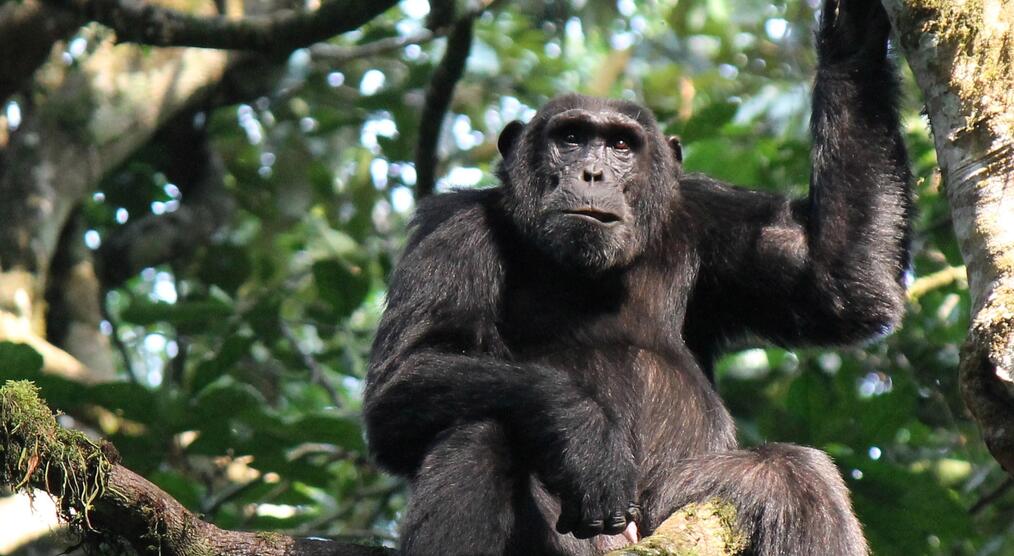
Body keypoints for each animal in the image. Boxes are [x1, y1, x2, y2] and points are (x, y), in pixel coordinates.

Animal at [363, 1, 912, 551]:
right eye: (570, 138)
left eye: (622, 145)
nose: (592, 173)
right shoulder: (453, 231)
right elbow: (403, 377)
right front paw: (584, 430)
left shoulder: (713, 213)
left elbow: (838, 284)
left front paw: (851, 30)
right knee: (479, 430)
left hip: (678, 508)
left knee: (795, 475)